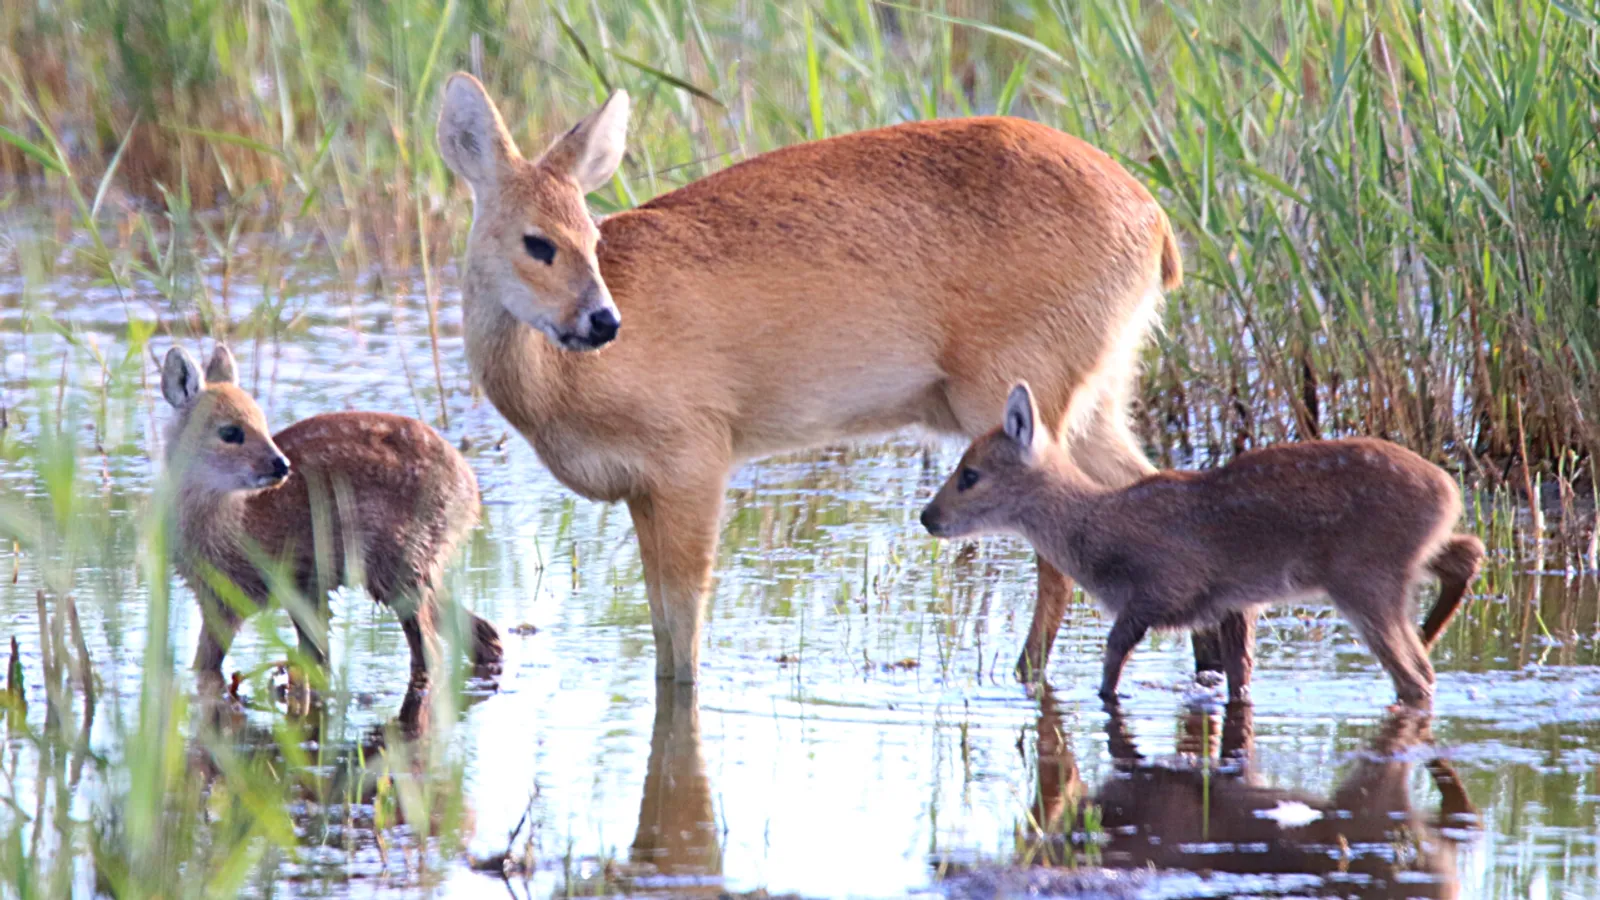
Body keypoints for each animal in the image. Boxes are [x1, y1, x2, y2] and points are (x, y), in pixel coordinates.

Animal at [158, 345, 502, 714]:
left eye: (263, 422)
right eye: (229, 432)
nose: (281, 465)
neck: (237, 525)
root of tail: (470, 491)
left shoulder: (304, 580)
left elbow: (312, 663)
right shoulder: (216, 597)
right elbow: (204, 666)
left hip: (402, 564)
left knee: (431, 651)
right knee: (482, 634)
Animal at [436, 72, 1193, 684]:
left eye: (592, 239)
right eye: (538, 242)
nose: (602, 320)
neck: (560, 386)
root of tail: (1156, 223)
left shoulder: (693, 460)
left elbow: (682, 639)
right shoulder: (641, 491)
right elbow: (659, 632)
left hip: (1020, 399)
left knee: (1061, 555)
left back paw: (1022, 677)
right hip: (1096, 398)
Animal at [920, 382, 1484, 708]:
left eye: (970, 474)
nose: (928, 517)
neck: (1098, 532)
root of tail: (1447, 490)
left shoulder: (1162, 588)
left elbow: (1111, 661)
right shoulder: (1234, 604)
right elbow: (1239, 676)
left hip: (1363, 577)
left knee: (1416, 676)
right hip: (1399, 564)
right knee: (1468, 553)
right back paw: (1431, 630)